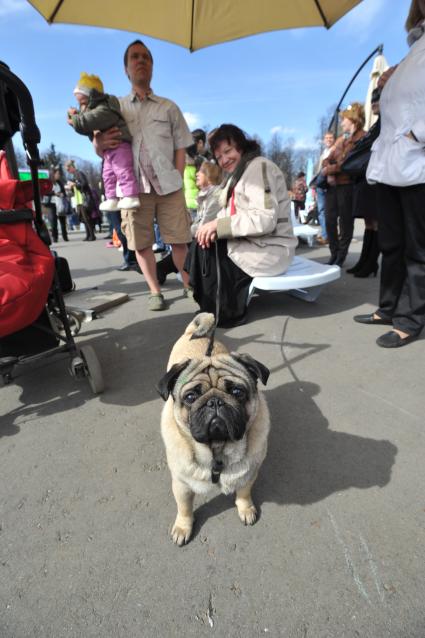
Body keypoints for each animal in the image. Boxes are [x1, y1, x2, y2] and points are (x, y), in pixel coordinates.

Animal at [156, 312, 268, 548]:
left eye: (237, 392)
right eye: (191, 397)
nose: (215, 401)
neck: (217, 450)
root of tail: (196, 334)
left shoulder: (249, 475)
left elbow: (244, 493)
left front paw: (246, 509)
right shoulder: (181, 485)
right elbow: (184, 508)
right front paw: (183, 527)